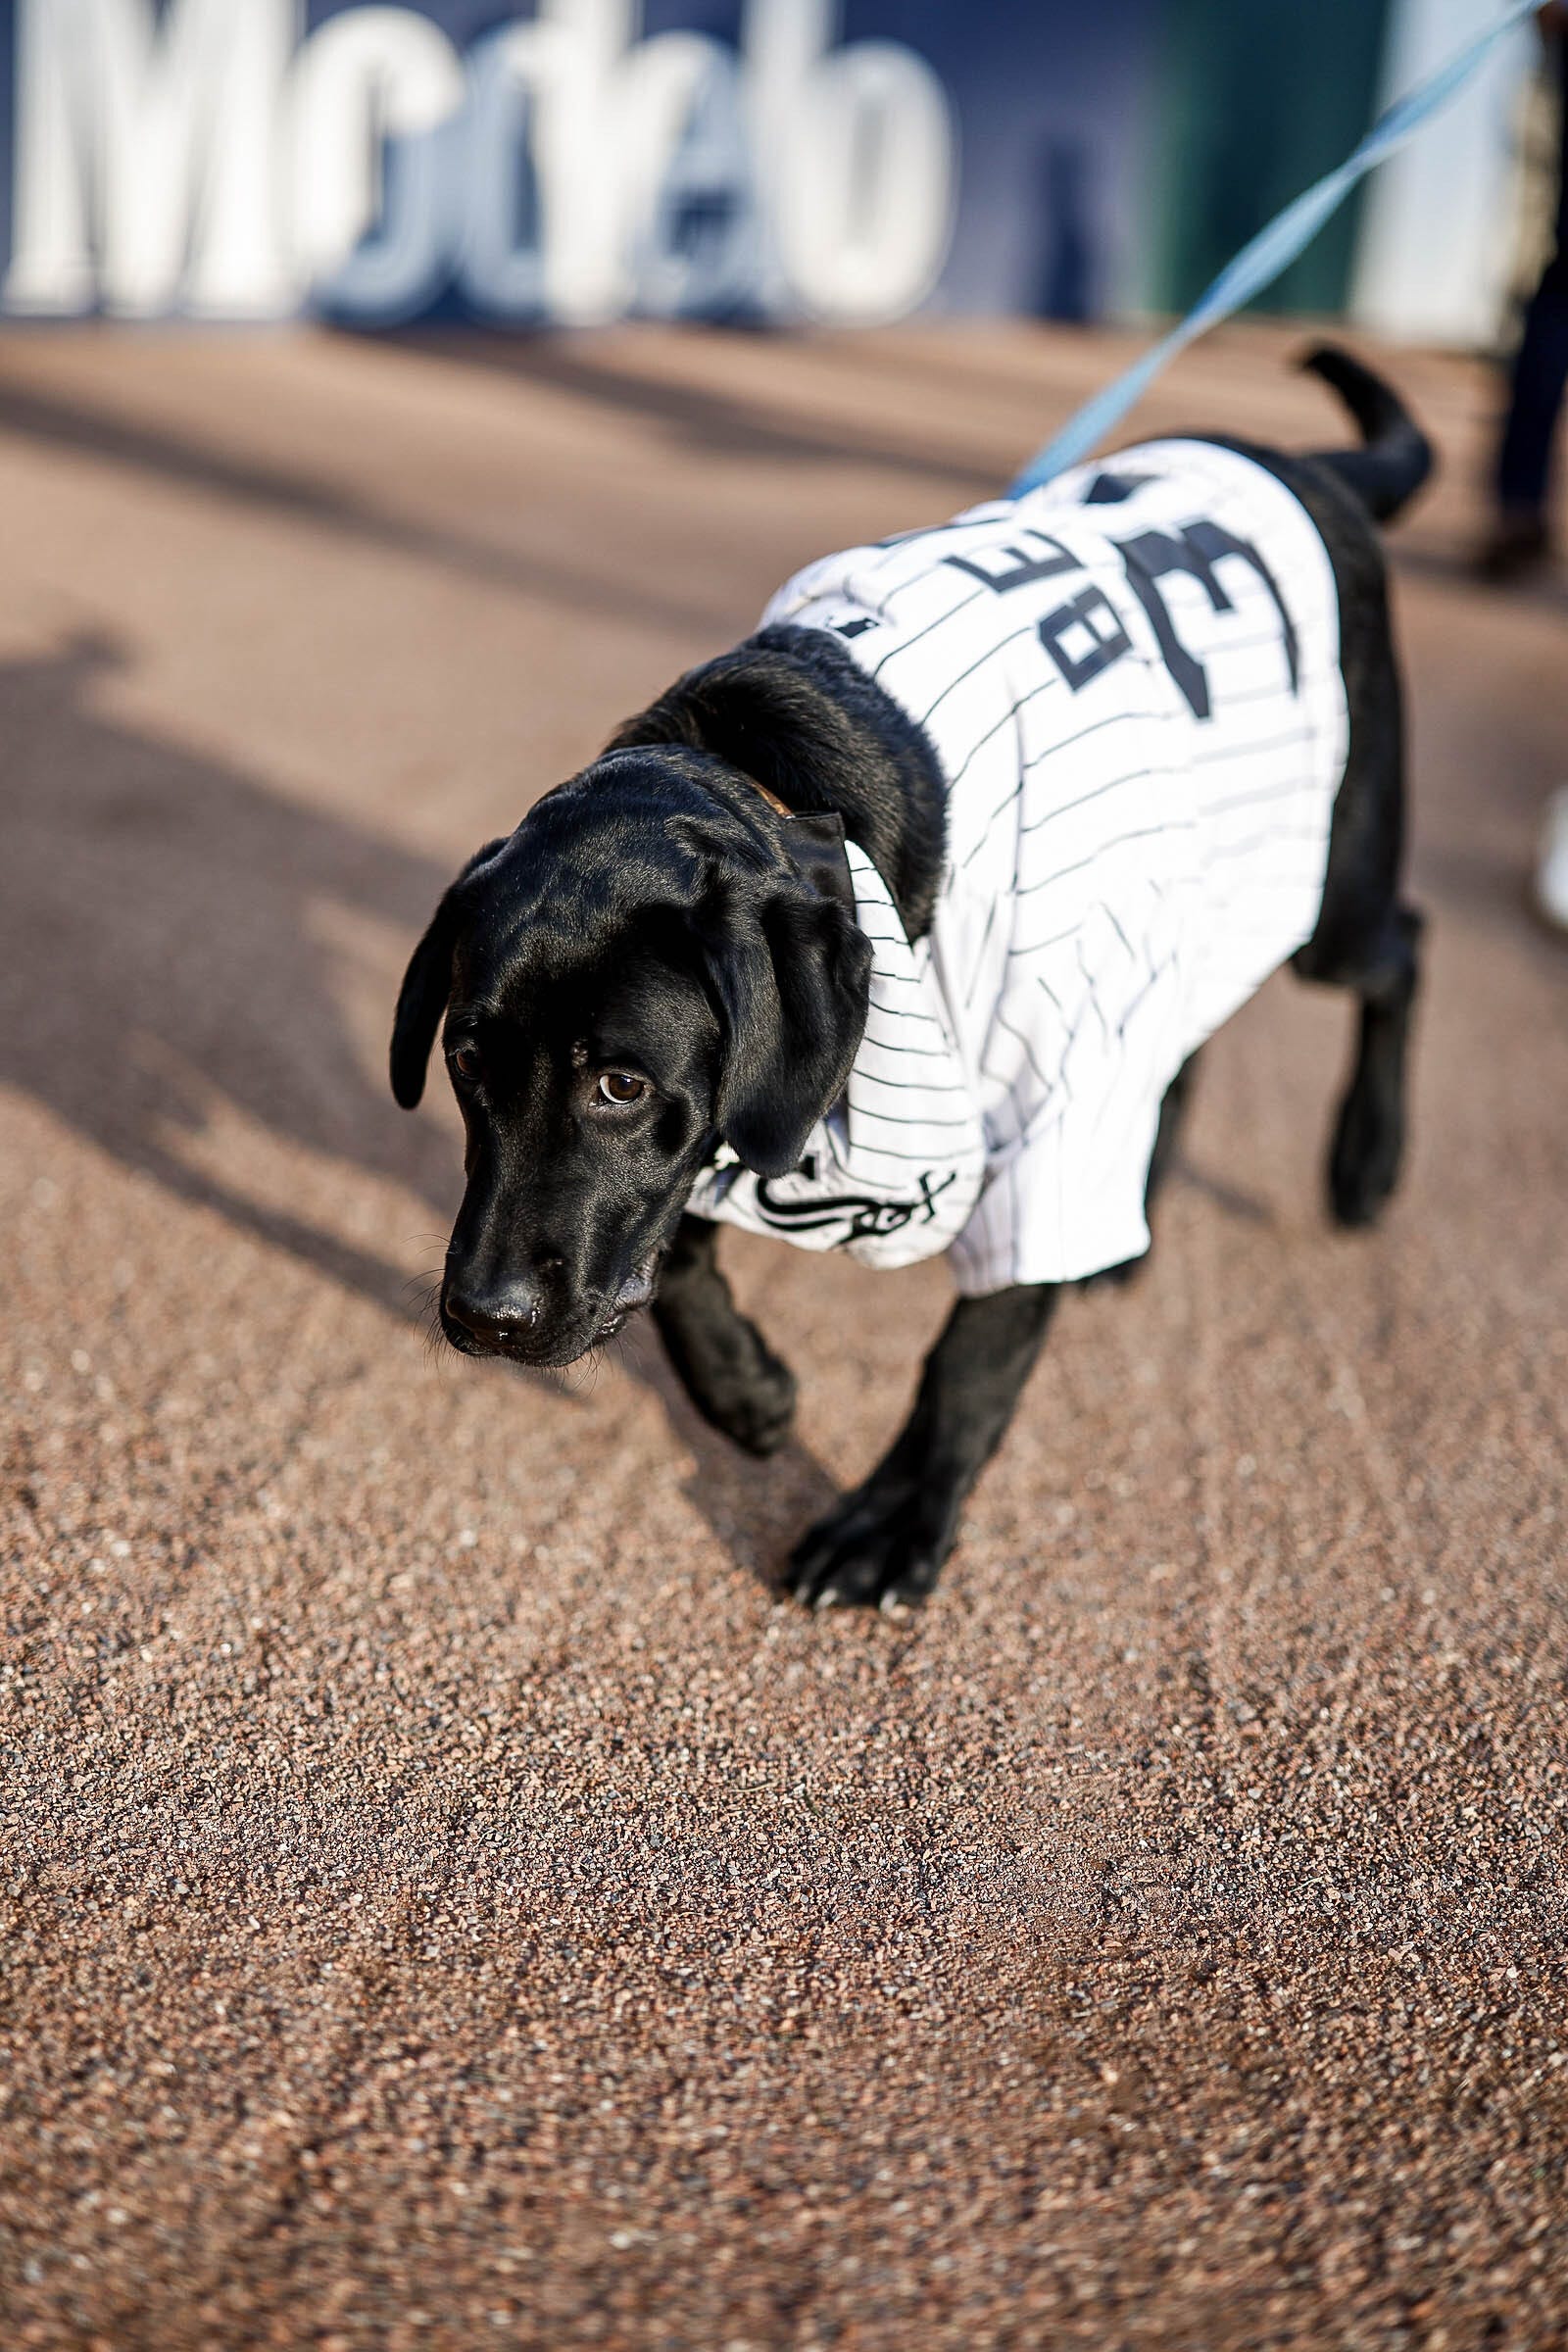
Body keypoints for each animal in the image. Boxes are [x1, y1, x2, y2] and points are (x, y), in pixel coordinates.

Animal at [394, 343, 1439, 1599]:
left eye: (620, 1085)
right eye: (465, 1062)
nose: (482, 1316)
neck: (777, 778)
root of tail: (1301, 463)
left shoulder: (1045, 1086)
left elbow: (974, 1351)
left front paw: (895, 1519)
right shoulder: (749, 1113)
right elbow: (676, 1238)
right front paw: (744, 1390)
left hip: (1336, 886)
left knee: (1402, 951)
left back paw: (1364, 1163)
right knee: (1178, 1044)